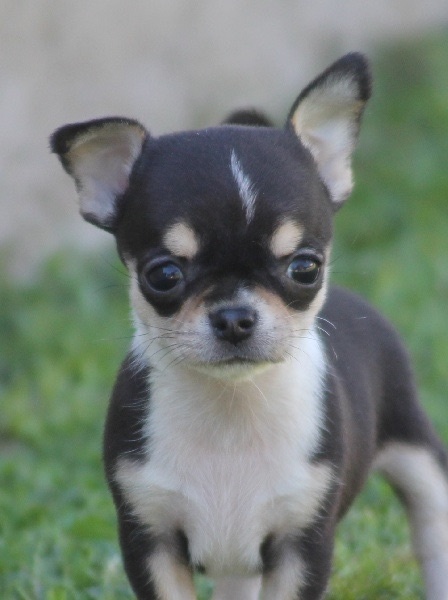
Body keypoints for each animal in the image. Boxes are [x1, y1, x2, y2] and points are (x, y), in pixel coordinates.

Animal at [51, 53, 448, 600]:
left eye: (305, 268)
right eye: (163, 275)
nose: (235, 316)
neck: (231, 407)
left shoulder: (302, 546)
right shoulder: (150, 537)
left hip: (414, 446)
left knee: (432, 528)